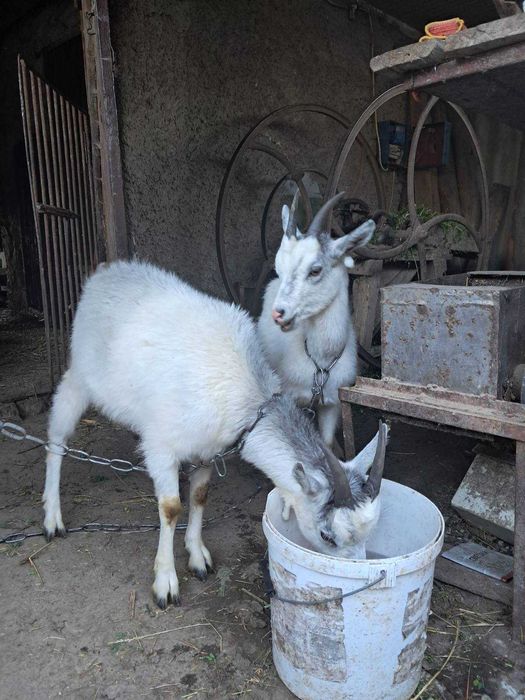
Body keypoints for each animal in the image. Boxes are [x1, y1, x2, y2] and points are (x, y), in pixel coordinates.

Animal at [43, 260, 387, 608]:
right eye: (327, 535)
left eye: (369, 532)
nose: (358, 573)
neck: (248, 398)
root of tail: (106, 270)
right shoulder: (163, 446)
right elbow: (170, 508)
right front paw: (165, 582)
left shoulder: (207, 450)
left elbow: (199, 495)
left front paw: (198, 556)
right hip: (79, 375)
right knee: (57, 439)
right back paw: (52, 518)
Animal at [257, 192, 375, 448]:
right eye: (279, 269)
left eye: (315, 270)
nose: (278, 313)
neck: (320, 362)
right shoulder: (290, 399)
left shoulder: (331, 404)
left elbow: (327, 442)